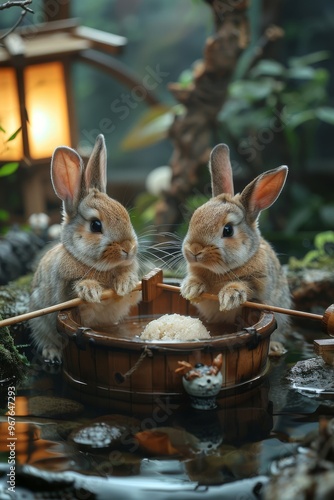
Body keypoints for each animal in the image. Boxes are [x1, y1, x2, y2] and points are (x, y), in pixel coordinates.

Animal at [29, 136, 140, 364]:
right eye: (96, 225)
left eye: (125, 215)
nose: (128, 248)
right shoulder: (64, 291)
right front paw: (90, 290)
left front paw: (125, 283)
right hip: (39, 321)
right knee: (45, 339)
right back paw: (52, 355)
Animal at [180, 143, 292, 350]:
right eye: (195, 217)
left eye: (228, 230)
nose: (194, 250)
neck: (220, 272)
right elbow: (197, 282)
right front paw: (190, 289)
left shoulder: (258, 284)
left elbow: (246, 287)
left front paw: (230, 296)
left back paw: (275, 348)